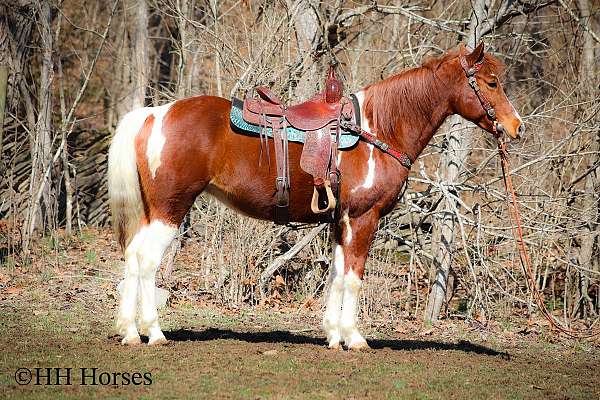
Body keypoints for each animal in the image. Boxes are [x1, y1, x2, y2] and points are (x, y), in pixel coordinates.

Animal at [109, 43, 524, 348]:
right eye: (490, 83)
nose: (516, 127)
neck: (378, 130)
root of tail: (155, 114)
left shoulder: (342, 221)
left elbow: (337, 276)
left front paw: (333, 335)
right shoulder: (363, 218)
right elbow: (353, 278)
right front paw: (354, 339)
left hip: (152, 211)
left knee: (132, 257)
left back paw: (129, 332)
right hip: (170, 209)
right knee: (146, 260)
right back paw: (154, 333)